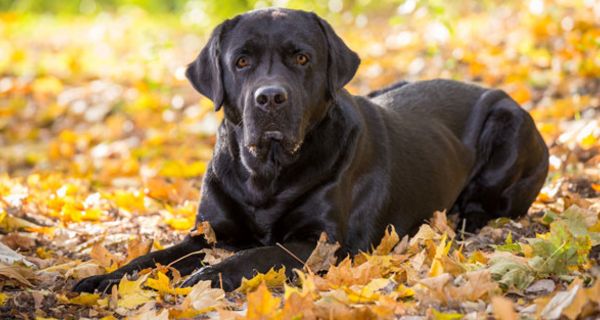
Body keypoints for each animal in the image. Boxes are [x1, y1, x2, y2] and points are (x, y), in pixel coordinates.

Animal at [74, 8, 548, 292]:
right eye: (241, 61)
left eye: (302, 58)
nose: (270, 98)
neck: (265, 173)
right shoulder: (208, 231)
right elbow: (154, 257)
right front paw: (101, 280)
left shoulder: (325, 242)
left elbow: (259, 253)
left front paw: (209, 275)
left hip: (509, 123)